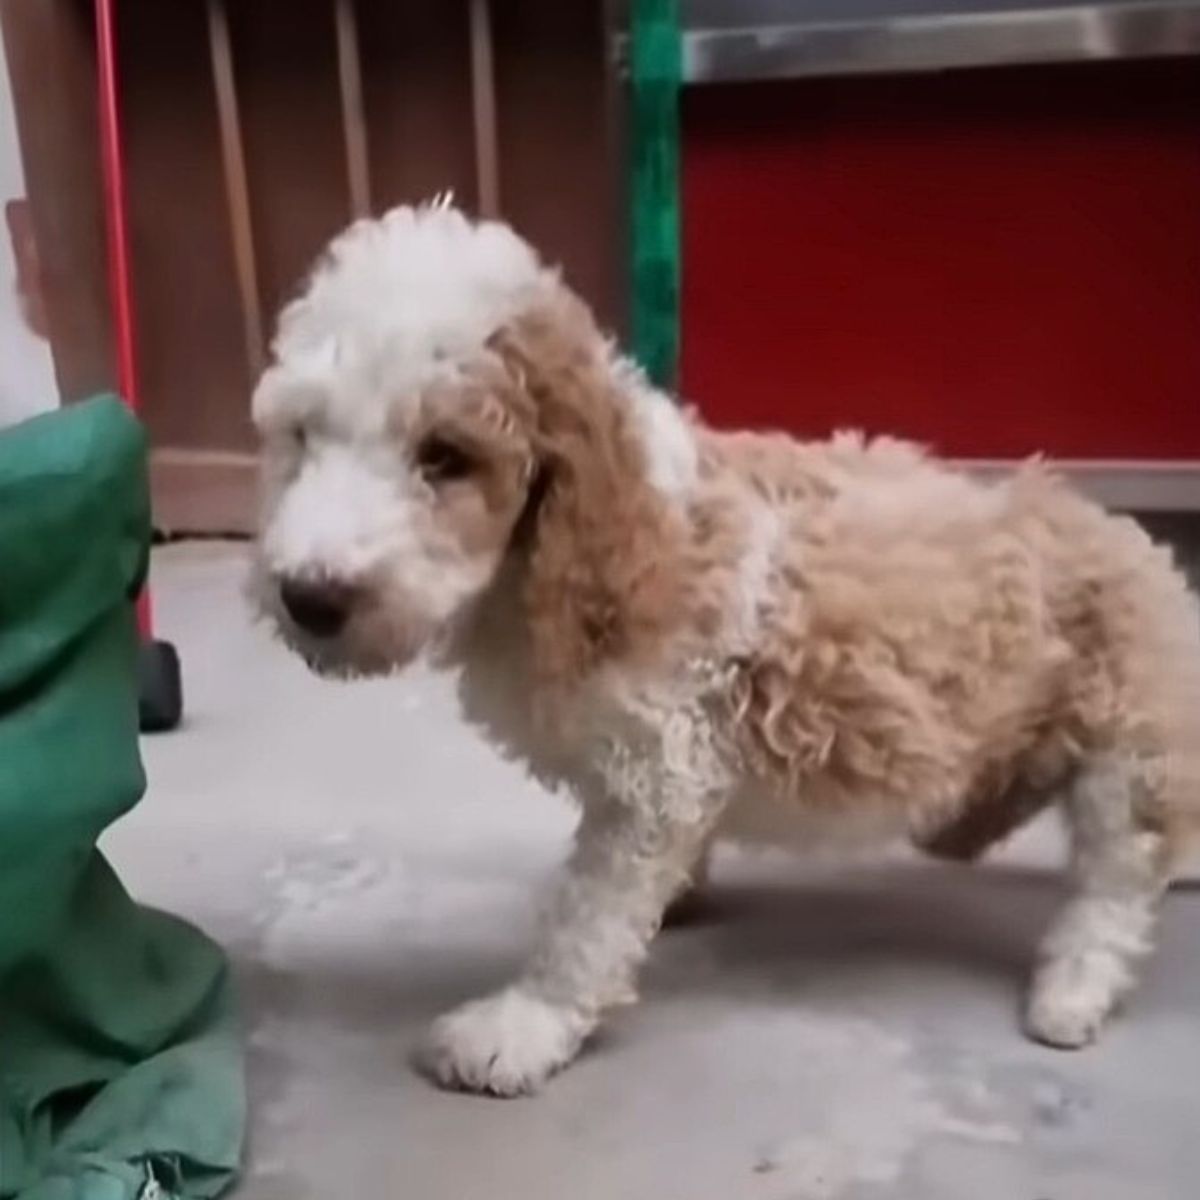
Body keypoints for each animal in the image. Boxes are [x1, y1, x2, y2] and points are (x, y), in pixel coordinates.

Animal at [250, 199, 1200, 1099]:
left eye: (445, 456)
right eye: (303, 437)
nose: (309, 596)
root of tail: (1143, 548)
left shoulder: (657, 771)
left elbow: (584, 920)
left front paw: (524, 1024)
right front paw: (673, 900)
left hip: (1127, 755)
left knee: (1116, 889)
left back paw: (1071, 991)